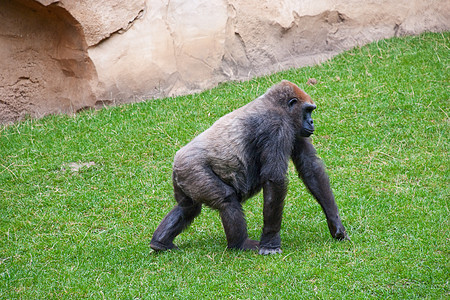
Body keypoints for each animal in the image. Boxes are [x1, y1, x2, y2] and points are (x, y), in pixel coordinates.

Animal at [151, 81, 348, 254]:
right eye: (307, 110)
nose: (312, 122)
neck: (277, 105)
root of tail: (176, 161)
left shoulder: (295, 129)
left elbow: (310, 167)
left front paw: (335, 224)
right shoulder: (277, 126)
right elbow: (274, 180)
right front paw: (270, 243)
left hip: (184, 176)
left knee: (188, 207)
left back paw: (160, 242)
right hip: (193, 170)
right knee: (227, 200)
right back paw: (240, 244)